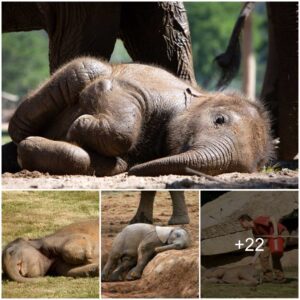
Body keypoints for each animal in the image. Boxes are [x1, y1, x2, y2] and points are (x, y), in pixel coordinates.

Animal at [8, 57, 274, 177]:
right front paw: (76, 128)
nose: (136, 171)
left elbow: (106, 160)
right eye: (220, 120)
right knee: (88, 68)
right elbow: (107, 90)